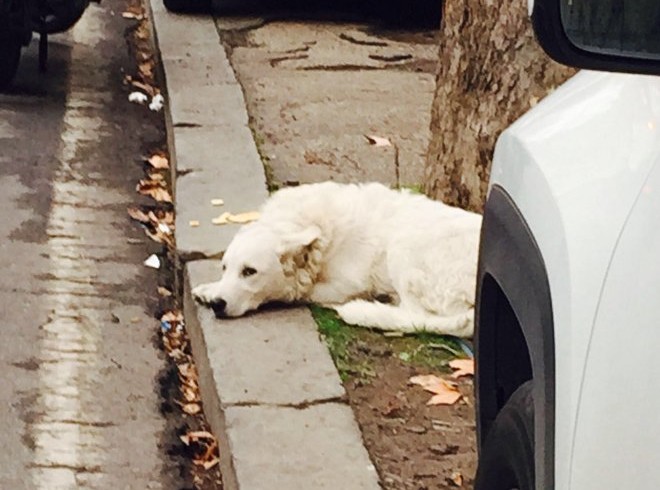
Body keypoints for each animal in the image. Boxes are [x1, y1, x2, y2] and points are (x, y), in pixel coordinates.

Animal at [193, 182, 482, 338]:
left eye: (250, 271)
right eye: (225, 267)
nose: (218, 305)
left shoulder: (347, 284)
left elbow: (299, 292)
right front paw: (209, 289)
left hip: (404, 246)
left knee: (418, 316)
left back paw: (368, 311)